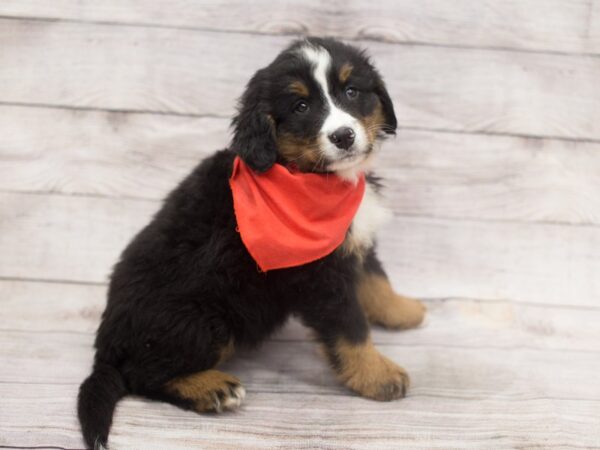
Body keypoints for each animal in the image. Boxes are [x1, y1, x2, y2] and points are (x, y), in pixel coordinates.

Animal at [78, 37, 426, 448]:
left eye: (352, 91)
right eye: (301, 106)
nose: (343, 136)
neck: (307, 177)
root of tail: (106, 346)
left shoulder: (352, 244)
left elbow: (375, 279)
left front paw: (404, 311)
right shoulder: (318, 277)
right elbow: (350, 328)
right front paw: (379, 376)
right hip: (204, 321)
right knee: (140, 374)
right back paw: (212, 389)